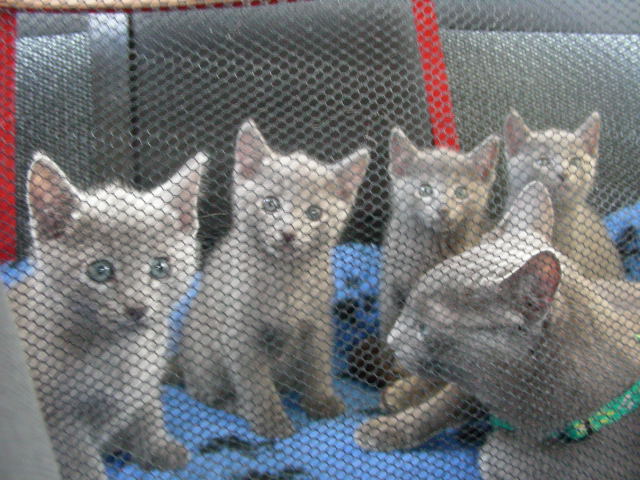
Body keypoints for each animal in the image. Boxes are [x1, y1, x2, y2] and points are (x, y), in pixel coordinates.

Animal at [9, 151, 207, 480]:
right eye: (100, 270)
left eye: (160, 267)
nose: (137, 307)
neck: (118, 350)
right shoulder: (57, 415)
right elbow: (78, 458)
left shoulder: (147, 379)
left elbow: (148, 410)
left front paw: (157, 447)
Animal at [179, 119, 369, 439]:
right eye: (270, 204)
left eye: (314, 213)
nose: (288, 233)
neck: (286, 277)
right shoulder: (241, 332)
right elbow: (255, 383)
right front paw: (271, 421)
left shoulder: (318, 322)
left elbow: (318, 363)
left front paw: (321, 399)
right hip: (204, 353)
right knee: (202, 392)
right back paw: (235, 405)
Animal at [355, 128, 499, 451]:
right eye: (424, 189)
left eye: (461, 191)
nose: (442, 208)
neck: (429, 253)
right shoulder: (391, 288)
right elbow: (393, 331)